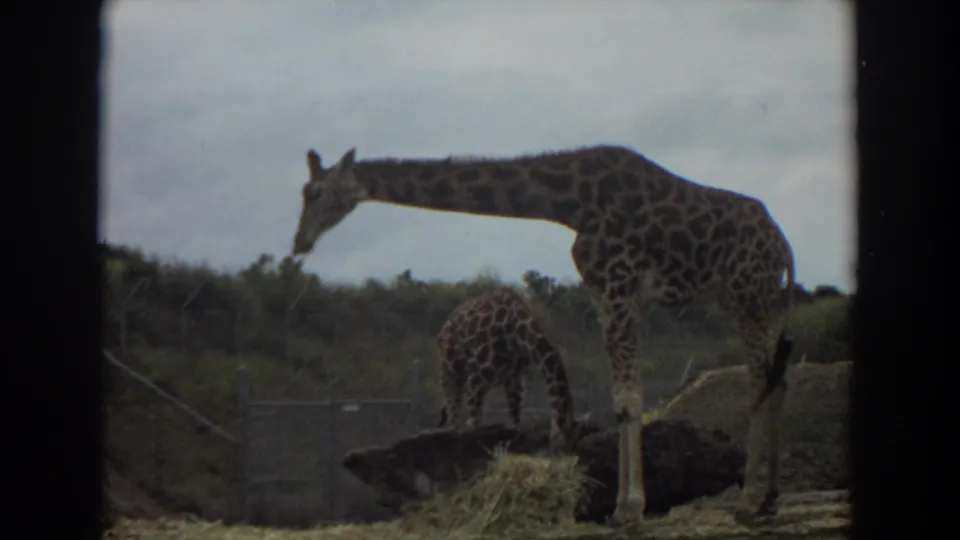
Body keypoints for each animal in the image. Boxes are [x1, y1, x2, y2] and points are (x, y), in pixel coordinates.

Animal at [434, 286, 593, 451]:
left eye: (574, 441)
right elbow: (475, 424)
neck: (517, 332)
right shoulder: (476, 379)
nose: (557, 451)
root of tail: (445, 325)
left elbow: (515, 422)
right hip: (450, 370)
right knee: (452, 412)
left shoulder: (514, 380)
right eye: (562, 442)